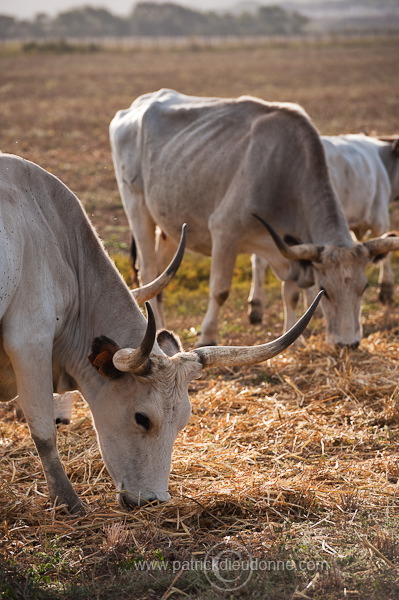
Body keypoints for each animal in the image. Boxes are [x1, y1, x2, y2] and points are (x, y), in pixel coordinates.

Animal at [0, 152, 320, 512]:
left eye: (183, 421)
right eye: (142, 418)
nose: (152, 500)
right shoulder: (29, 341)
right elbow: (44, 430)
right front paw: (68, 502)